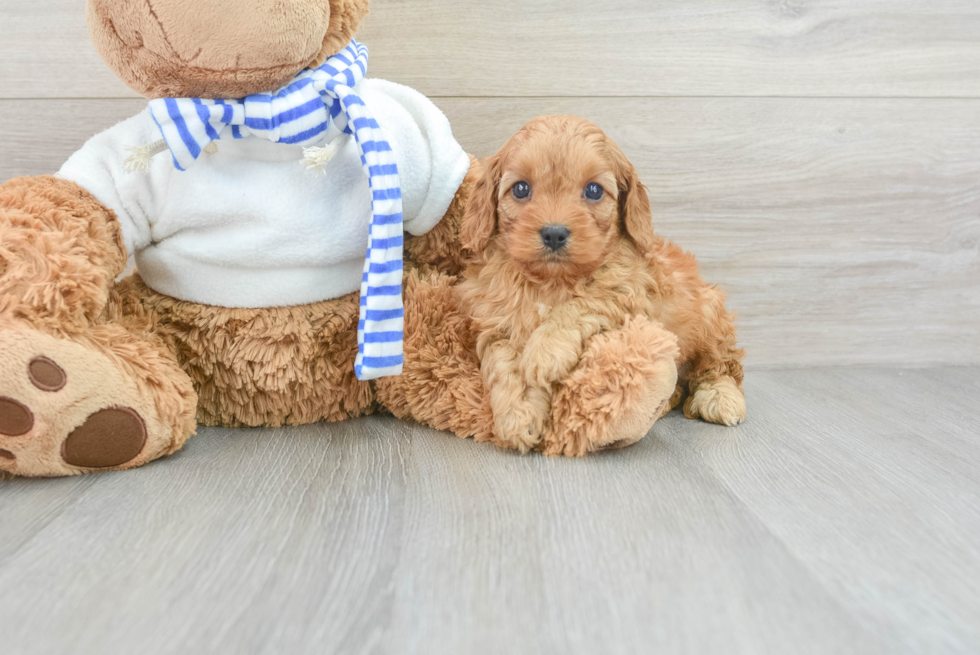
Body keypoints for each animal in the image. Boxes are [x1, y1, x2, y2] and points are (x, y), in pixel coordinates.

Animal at [458, 115, 744, 454]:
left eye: (594, 190)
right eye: (521, 189)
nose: (554, 233)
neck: (551, 281)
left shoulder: (631, 294)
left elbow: (585, 302)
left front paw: (545, 350)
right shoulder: (494, 320)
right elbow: (502, 361)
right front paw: (519, 414)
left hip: (711, 315)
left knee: (721, 366)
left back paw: (720, 398)